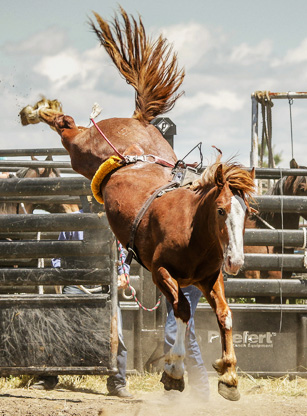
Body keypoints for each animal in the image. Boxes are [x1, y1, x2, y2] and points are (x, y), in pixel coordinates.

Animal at [19, 8, 255, 402]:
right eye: (222, 211)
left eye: (247, 214)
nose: (236, 261)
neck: (192, 229)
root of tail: (136, 122)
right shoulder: (160, 271)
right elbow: (182, 310)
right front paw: (173, 374)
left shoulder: (209, 277)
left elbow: (224, 315)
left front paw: (229, 376)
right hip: (81, 149)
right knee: (66, 125)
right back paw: (37, 110)